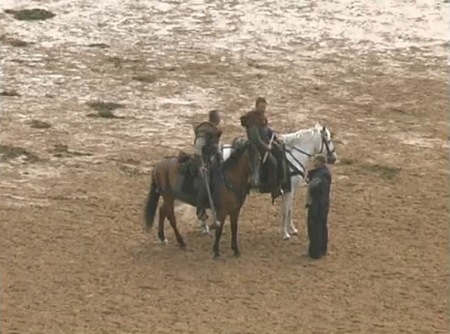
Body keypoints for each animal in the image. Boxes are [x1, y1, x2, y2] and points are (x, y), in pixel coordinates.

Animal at [202, 122, 336, 240]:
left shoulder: (291, 191)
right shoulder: (289, 190)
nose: (334, 158)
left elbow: (290, 210)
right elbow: (285, 211)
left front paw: (292, 229)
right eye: (329, 140)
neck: (293, 157)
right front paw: (285, 234)